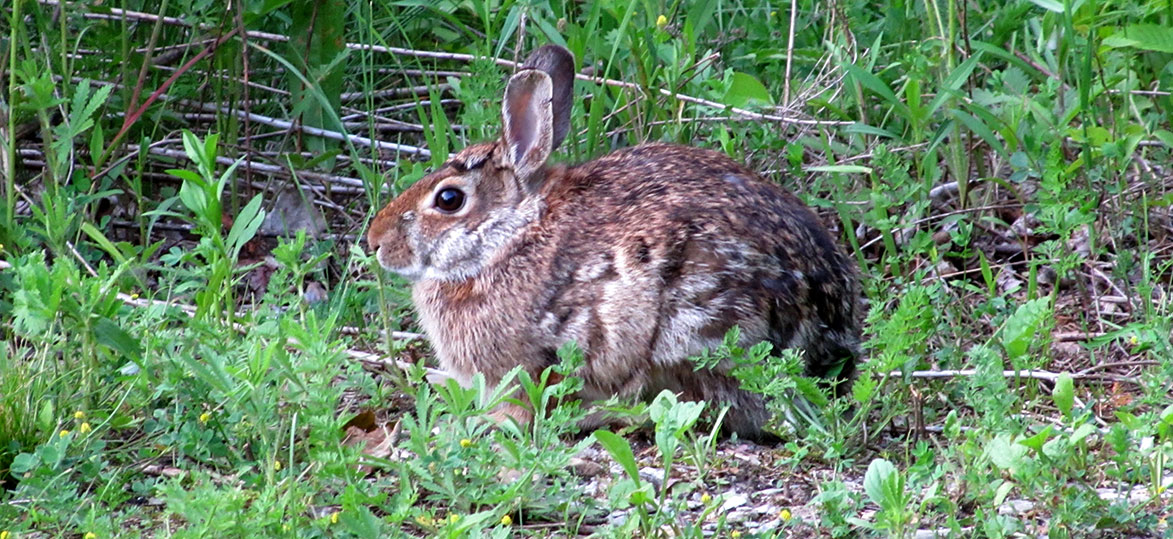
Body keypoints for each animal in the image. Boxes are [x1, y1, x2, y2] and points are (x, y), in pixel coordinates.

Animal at [368, 44, 863, 440]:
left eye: (448, 199)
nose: (375, 241)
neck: (512, 235)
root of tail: (828, 345)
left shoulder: (527, 366)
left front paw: (484, 423)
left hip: (695, 332)